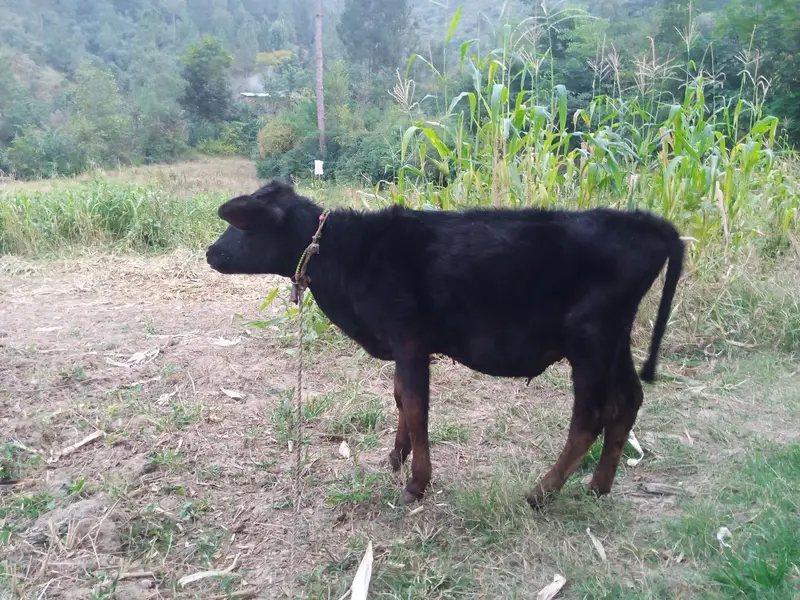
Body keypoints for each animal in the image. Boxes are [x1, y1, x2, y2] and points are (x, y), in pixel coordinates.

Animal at [206, 180, 684, 509]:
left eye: (241, 225)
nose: (211, 252)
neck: (349, 256)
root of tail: (646, 224)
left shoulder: (410, 338)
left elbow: (416, 406)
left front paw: (416, 483)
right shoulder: (404, 345)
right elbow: (400, 397)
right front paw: (395, 458)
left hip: (589, 339)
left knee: (590, 418)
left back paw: (540, 493)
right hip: (615, 338)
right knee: (627, 401)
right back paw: (598, 488)